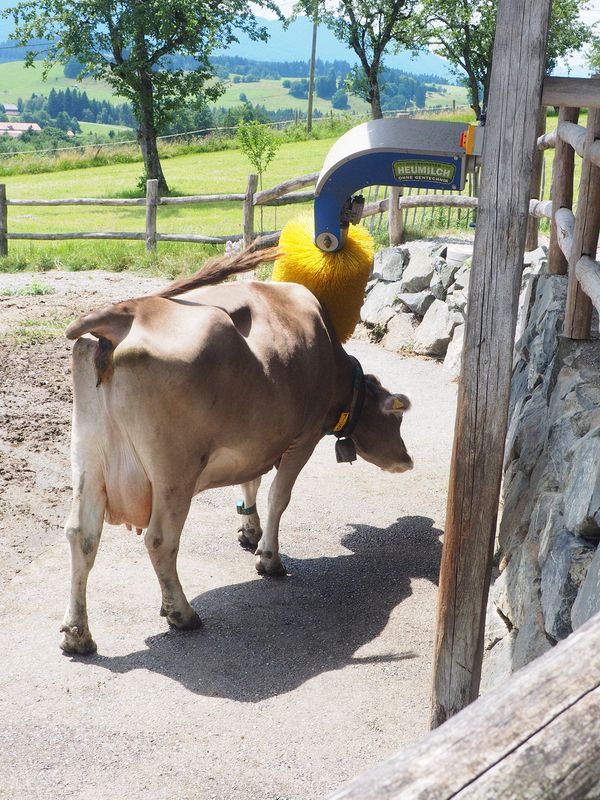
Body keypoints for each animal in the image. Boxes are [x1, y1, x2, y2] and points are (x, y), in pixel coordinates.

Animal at [59, 248, 412, 656]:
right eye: (396, 418)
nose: (407, 460)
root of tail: (128, 311)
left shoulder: (256, 440)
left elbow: (252, 482)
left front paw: (249, 529)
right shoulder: (303, 438)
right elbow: (279, 497)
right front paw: (269, 559)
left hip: (88, 458)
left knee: (81, 535)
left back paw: (77, 634)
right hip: (174, 472)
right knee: (160, 540)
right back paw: (181, 613)